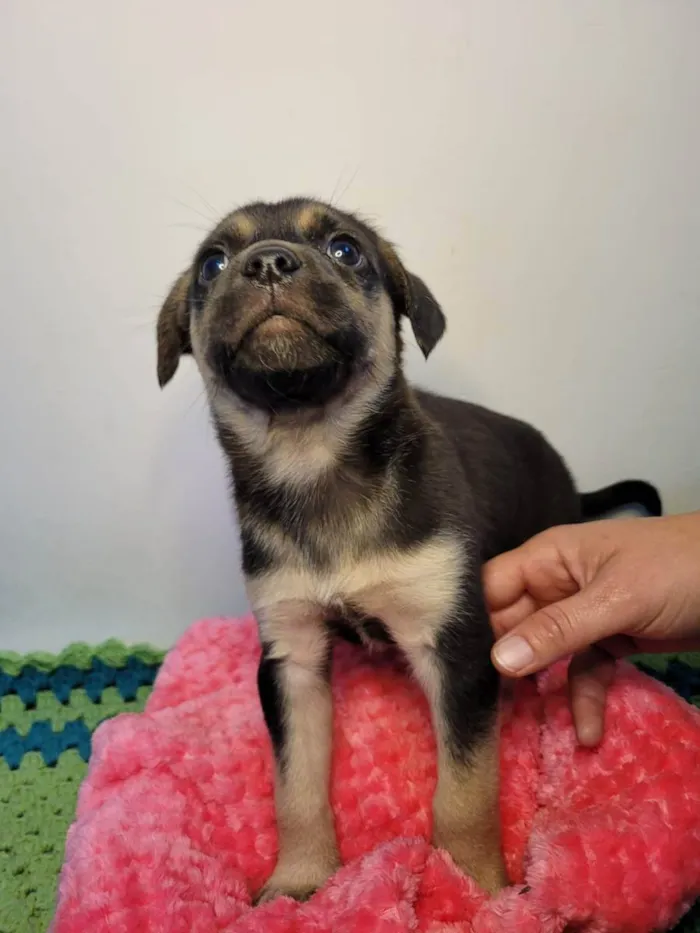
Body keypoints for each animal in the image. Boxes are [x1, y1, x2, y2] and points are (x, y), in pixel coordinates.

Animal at [156, 198, 664, 904]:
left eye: (346, 250)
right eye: (212, 264)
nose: (267, 263)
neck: (313, 455)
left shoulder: (456, 646)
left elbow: (465, 791)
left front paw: (473, 887)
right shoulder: (291, 656)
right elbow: (296, 786)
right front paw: (299, 880)